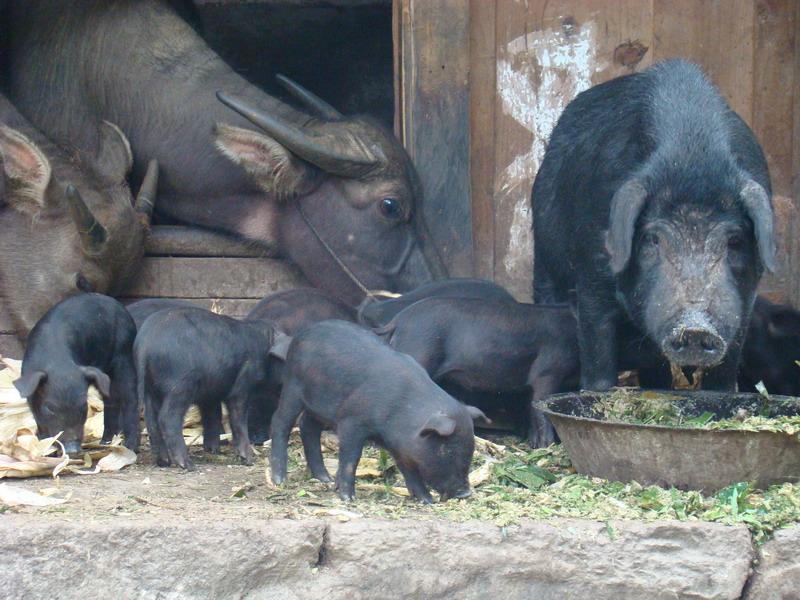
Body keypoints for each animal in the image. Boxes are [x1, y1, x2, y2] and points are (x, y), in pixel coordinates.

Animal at [12, 292, 138, 452]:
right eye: (49, 408)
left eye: (83, 406)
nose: (72, 449)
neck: (57, 362)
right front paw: (46, 447)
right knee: (111, 401)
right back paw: (105, 443)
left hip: (125, 355)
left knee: (130, 398)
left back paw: (130, 447)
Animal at [270, 322, 488, 504]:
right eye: (447, 450)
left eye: (470, 449)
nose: (465, 493)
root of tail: (302, 334)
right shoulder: (351, 422)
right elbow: (351, 460)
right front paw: (348, 499)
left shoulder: (401, 446)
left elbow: (410, 471)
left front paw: (427, 501)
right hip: (293, 387)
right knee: (280, 421)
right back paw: (279, 480)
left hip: (318, 406)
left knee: (308, 427)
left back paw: (325, 478)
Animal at [532, 58, 776, 392]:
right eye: (652, 239)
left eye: (735, 240)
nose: (696, 327)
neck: (691, 152)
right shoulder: (592, 265)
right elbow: (597, 349)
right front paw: (596, 390)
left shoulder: (746, 298)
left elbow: (725, 373)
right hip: (544, 260)